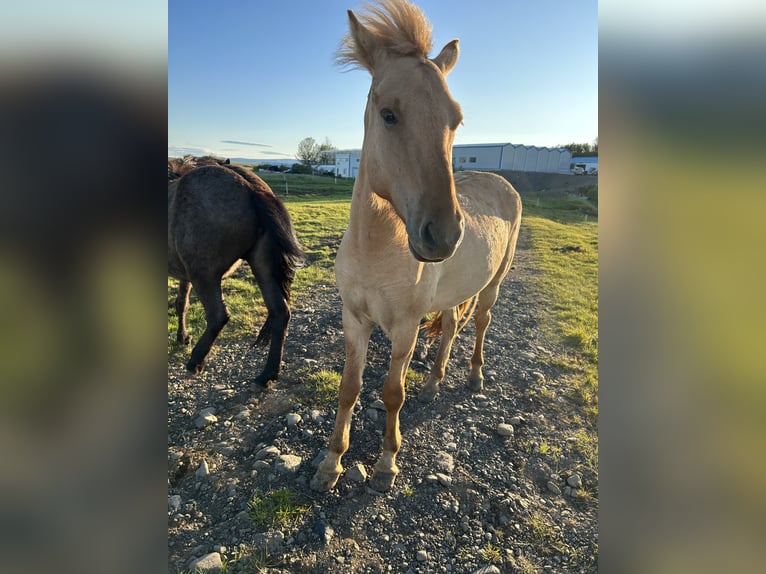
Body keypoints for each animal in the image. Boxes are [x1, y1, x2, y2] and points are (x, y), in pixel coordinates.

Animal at [168, 156, 304, 387]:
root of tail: (251, 187)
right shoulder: (183, 275)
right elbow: (181, 304)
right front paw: (182, 336)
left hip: (204, 275)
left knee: (218, 316)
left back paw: (196, 361)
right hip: (262, 266)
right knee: (280, 313)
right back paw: (268, 374)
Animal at [311, 0, 522, 492]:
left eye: (456, 120)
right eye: (389, 113)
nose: (443, 234)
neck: (375, 248)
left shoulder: (405, 327)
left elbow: (392, 392)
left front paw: (386, 463)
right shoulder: (355, 319)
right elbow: (349, 388)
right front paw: (331, 463)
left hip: (493, 286)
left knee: (479, 323)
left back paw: (474, 377)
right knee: (451, 325)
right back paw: (434, 383)